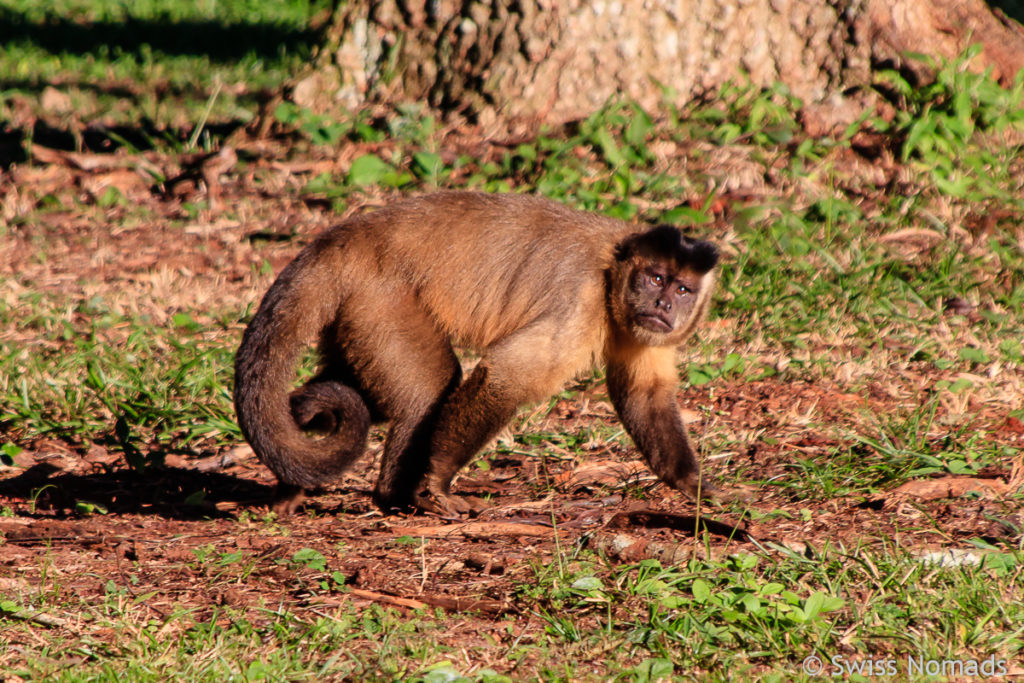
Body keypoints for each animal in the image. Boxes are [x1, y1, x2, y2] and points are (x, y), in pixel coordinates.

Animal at [236, 189, 724, 516]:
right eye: (655, 278)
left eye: (682, 289)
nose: (664, 305)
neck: (612, 280)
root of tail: (344, 238)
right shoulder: (582, 298)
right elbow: (506, 376)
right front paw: (436, 481)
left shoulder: (646, 333)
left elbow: (645, 398)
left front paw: (693, 485)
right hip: (380, 300)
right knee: (429, 391)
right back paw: (396, 497)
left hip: (353, 313)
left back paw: (291, 489)